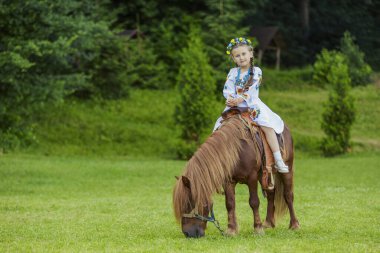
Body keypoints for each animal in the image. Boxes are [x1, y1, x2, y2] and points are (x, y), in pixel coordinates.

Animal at [172, 113, 300, 238]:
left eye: (188, 204)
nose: (188, 233)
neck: (237, 150)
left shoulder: (252, 178)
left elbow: (254, 202)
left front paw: (258, 229)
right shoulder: (228, 181)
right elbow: (230, 203)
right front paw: (231, 230)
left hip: (286, 170)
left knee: (288, 195)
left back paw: (294, 225)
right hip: (265, 175)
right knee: (271, 194)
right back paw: (268, 223)